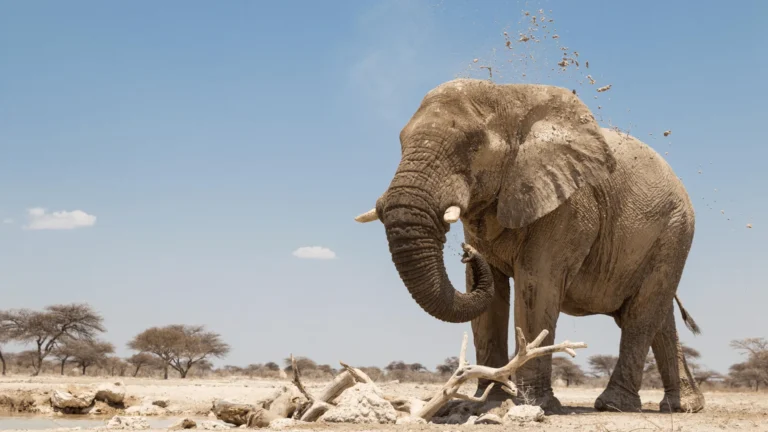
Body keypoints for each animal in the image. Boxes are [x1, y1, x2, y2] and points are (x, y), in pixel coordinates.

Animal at [354, 78, 704, 414]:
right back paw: (683, 406)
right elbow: (489, 299)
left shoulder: (567, 206)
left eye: (473, 145)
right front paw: (482, 402)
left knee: (639, 314)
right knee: (659, 318)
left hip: (675, 230)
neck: (508, 98)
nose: (467, 253)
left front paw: (529, 405)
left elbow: (537, 286)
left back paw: (614, 405)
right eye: (401, 141)